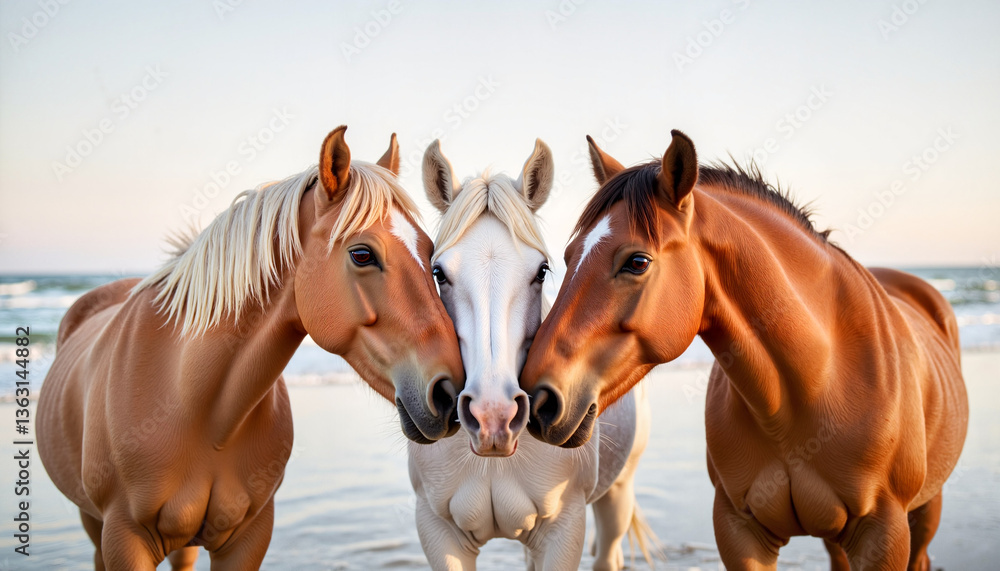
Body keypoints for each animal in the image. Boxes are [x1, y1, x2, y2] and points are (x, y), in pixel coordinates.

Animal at [37, 126, 465, 570]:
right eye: (362, 254)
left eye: (430, 253)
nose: (450, 391)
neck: (196, 408)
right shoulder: (125, 537)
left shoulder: (247, 537)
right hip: (94, 524)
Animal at [407, 139, 656, 571]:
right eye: (438, 272)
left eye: (541, 270)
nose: (493, 416)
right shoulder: (438, 532)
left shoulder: (563, 531)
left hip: (617, 494)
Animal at [519, 131, 968, 570]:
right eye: (566, 257)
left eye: (637, 261)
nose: (536, 397)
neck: (816, 385)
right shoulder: (740, 532)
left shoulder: (882, 533)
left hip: (925, 513)